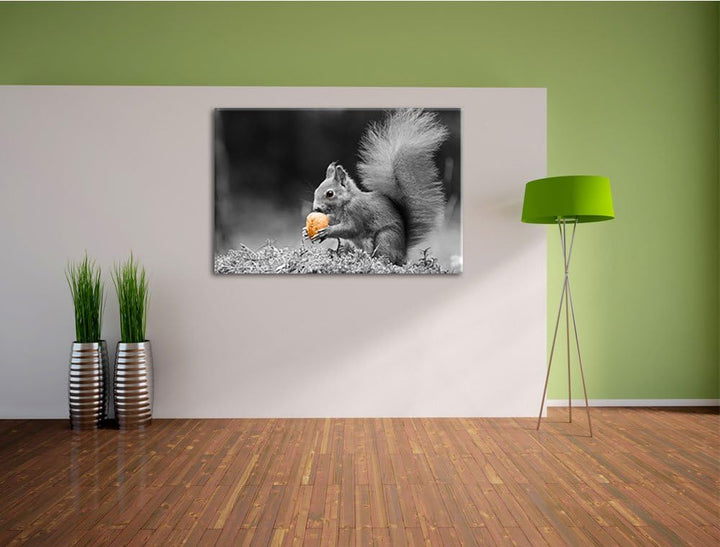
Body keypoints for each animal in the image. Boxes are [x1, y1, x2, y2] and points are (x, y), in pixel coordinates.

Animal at [304, 108, 448, 265]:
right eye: (316, 190)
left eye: (330, 193)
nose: (316, 208)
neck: (347, 201)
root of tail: (402, 253)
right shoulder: (336, 216)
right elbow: (333, 220)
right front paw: (306, 230)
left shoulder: (356, 212)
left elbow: (351, 229)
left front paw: (327, 231)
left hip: (385, 237)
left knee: (384, 257)